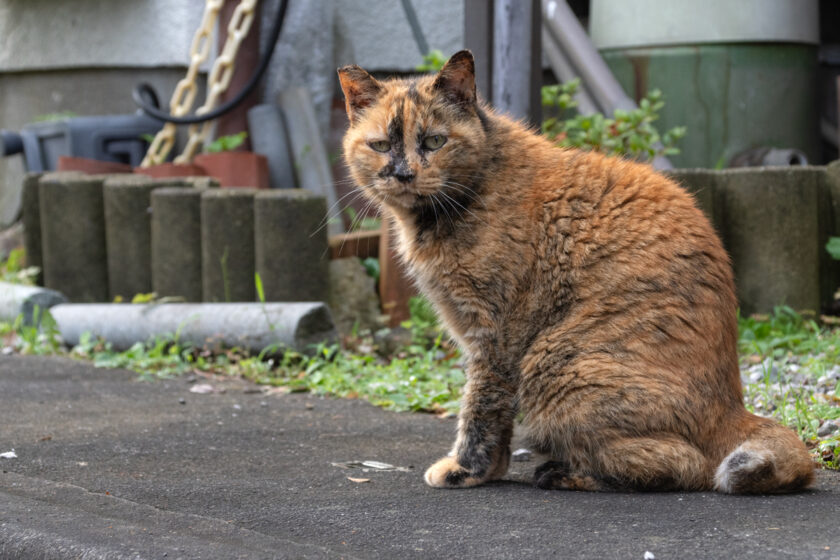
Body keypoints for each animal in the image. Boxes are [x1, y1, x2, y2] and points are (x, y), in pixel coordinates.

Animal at [334, 50, 812, 492]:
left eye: (434, 142)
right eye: (380, 145)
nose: (402, 173)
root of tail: (733, 408)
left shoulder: (495, 335)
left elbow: (479, 408)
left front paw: (465, 470)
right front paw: (492, 471)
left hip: (555, 366)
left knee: (685, 466)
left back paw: (565, 473)